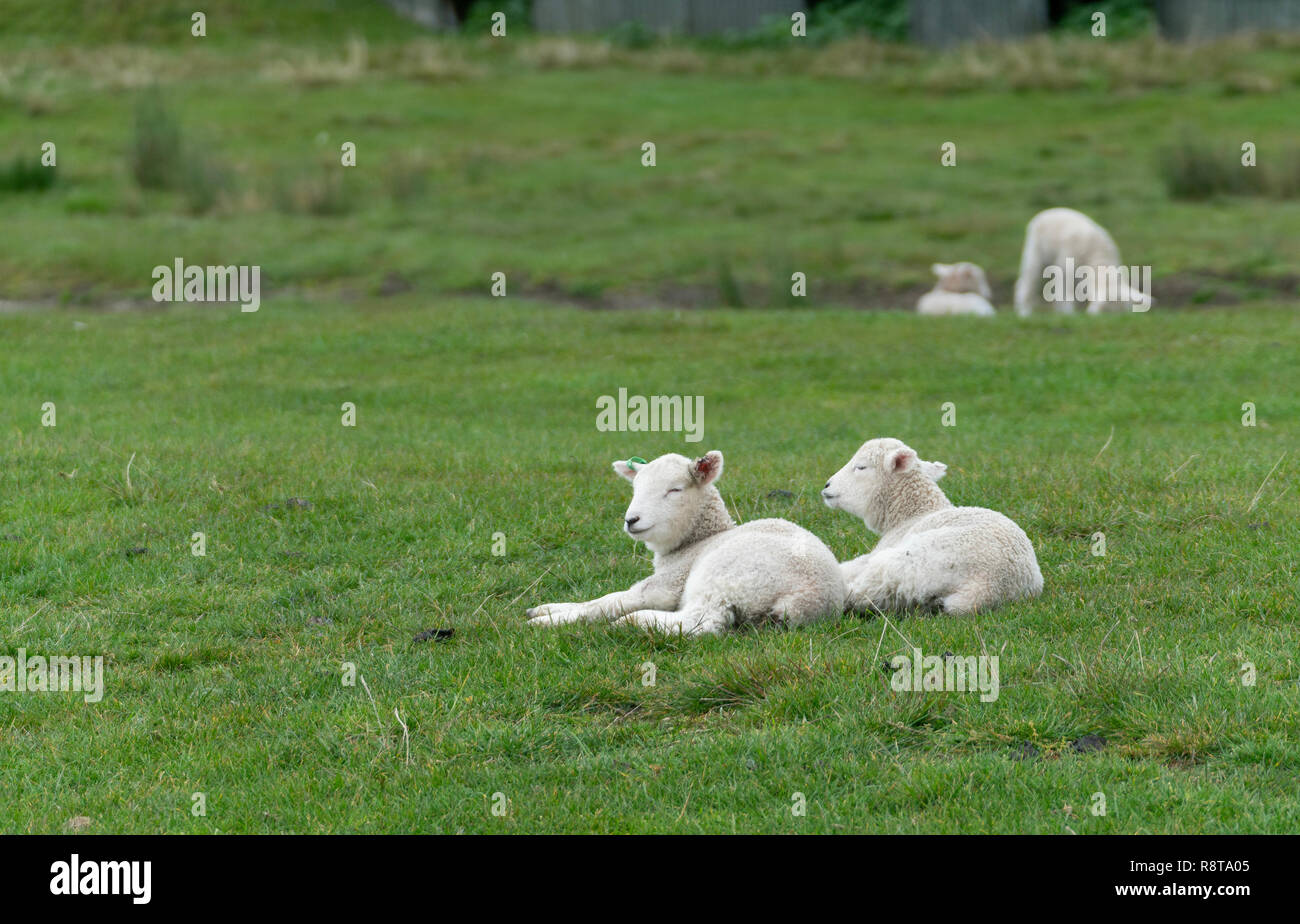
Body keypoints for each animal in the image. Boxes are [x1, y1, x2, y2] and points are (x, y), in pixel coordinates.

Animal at [525, 449, 842, 636]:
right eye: (635, 488)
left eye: (674, 490)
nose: (631, 520)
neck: (697, 541)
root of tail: (807, 599)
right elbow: (601, 599)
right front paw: (548, 608)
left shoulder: (669, 583)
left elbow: (606, 601)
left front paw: (548, 620)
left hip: (727, 579)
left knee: (702, 622)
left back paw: (635, 621)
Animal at [821, 439, 1045, 618]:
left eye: (861, 467)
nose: (826, 486)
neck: (912, 515)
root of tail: (988, 588)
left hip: (906, 565)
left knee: (860, 593)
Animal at [1013, 206, 1149, 314]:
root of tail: (1048, 211)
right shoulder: (1066, 266)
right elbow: (1064, 292)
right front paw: (1069, 314)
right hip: (1035, 252)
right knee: (1027, 281)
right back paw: (1025, 312)